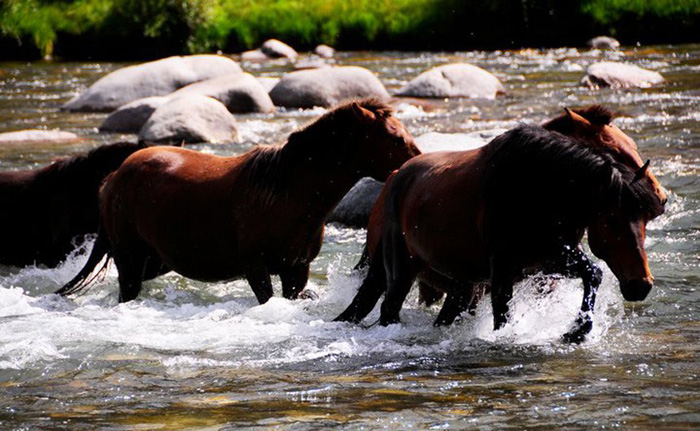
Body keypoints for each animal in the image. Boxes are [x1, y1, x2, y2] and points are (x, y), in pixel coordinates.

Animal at [57, 100, 418, 306]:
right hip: (130, 260)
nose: (417, 163)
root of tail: (112, 179)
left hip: (154, 262)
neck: (286, 194)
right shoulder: (256, 269)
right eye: (395, 138)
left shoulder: (296, 270)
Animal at [338, 106, 668, 342]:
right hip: (401, 271)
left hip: (459, 284)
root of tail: (394, 179)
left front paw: (576, 331)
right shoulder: (503, 272)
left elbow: (593, 273)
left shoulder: (546, 261)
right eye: (612, 219)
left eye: (642, 221)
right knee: (388, 311)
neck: (539, 193)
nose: (641, 284)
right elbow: (502, 315)